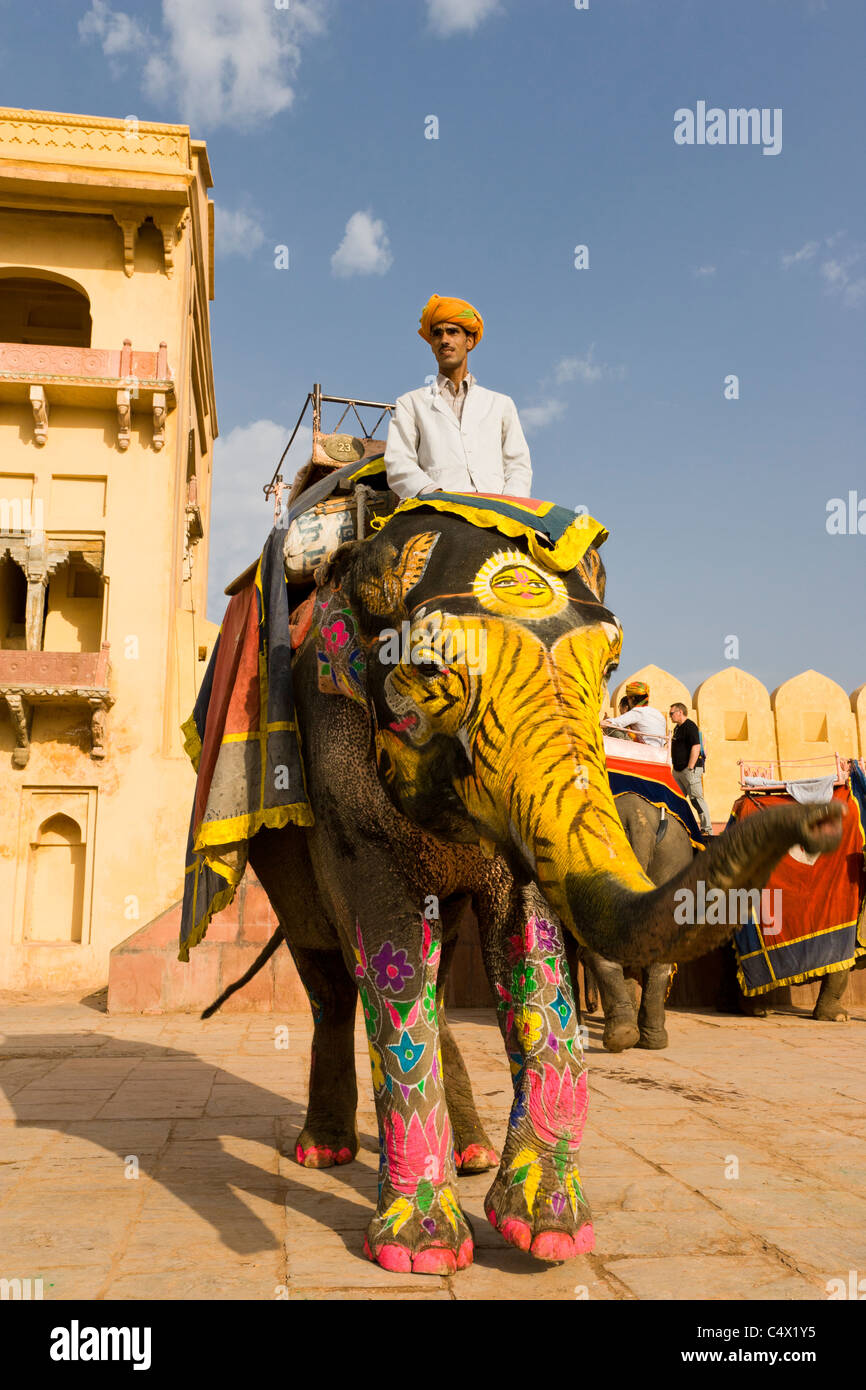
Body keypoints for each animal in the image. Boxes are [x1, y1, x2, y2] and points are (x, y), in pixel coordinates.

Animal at [208, 505, 839, 1273]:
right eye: (429, 669)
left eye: (610, 668)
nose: (821, 819)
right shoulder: (336, 756)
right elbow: (390, 948)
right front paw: (422, 1252)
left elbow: (530, 944)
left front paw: (550, 1233)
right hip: (279, 837)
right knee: (328, 971)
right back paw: (325, 1153)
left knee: (439, 970)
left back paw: (473, 1154)